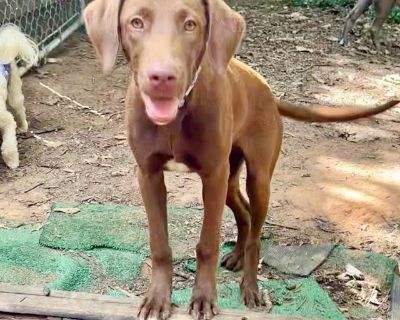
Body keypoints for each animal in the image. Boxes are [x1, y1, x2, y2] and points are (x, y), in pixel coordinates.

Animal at [0, 24, 38, 169]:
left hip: (14, 93)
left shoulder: (7, 121)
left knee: (20, 110)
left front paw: (12, 161)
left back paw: (23, 127)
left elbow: (8, 146)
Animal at [83, 1, 398, 318]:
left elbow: (207, 244)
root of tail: (268, 91)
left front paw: (204, 297)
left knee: (256, 233)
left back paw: (250, 287)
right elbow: (159, 244)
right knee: (244, 213)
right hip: (229, 179)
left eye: (190, 24)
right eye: (136, 22)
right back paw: (236, 255)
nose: (162, 78)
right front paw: (158, 298)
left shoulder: (213, 176)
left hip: (256, 178)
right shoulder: (149, 174)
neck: (176, 117)